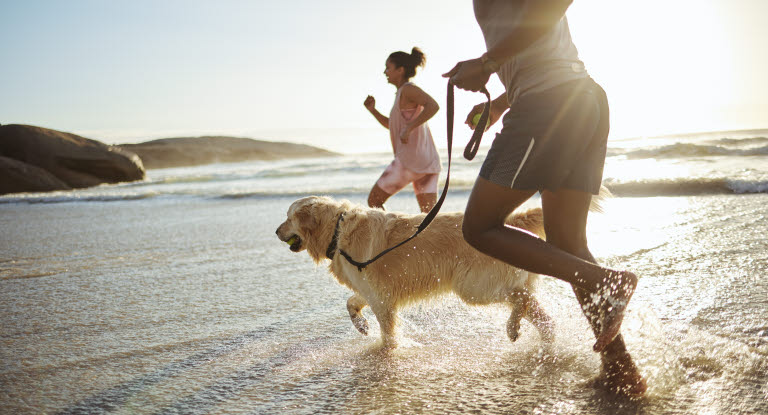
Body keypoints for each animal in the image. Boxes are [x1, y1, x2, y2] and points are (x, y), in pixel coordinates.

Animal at [276, 197, 552, 350]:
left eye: (288, 217)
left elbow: (387, 333)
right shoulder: (372, 288)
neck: (337, 230)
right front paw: (361, 325)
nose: (276, 231)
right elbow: (351, 302)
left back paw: (513, 327)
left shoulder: (381, 298)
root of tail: (513, 222)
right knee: (540, 313)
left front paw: (388, 349)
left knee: (520, 297)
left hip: (472, 287)